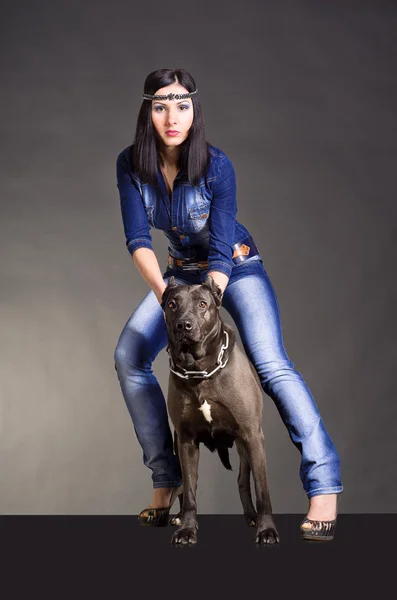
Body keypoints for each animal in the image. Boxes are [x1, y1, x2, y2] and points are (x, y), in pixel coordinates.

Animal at [160, 274, 278, 548]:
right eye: (172, 304)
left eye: (202, 304)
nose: (184, 326)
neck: (199, 371)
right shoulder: (186, 441)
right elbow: (190, 491)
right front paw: (187, 529)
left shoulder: (252, 435)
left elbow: (262, 489)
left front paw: (267, 530)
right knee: (180, 487)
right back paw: (176, 516)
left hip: (245, 447)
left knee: (243, 481)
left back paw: (252, 517)